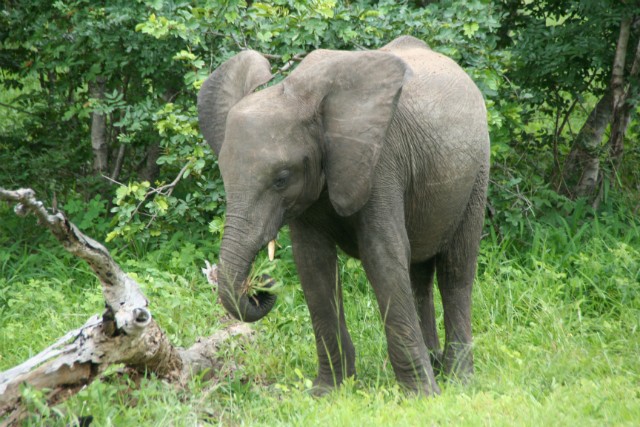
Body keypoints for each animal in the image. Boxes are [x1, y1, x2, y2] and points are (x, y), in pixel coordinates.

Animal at [199, 35, 490, 396]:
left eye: (282, 179)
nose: (260, 286)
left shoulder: (380, 161)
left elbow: (382, 257)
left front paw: (422, 396)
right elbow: (313, 265)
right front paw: (328, 391)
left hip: (478, 171)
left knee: (456, 272)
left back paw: (460, 381)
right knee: (419, 273)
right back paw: (436, 363)